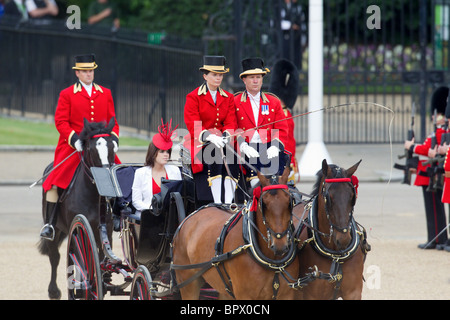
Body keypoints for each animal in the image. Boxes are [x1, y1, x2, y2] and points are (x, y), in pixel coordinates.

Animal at [37, 118, 117, 300]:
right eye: (92, 149)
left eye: (113, 146)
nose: (105, 178)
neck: (93, 195)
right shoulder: (78, 227)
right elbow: (80, 261)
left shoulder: (105, 231)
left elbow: (100, 259)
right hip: (55, 228)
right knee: (55, 256)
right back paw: (54, 291)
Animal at [171, 165, 300, 300]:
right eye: (263, 203)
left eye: (290, 201)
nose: (280, 245)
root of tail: (187, 218)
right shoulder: (244, 295)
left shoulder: (287, 294)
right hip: (188, 284)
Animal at [296, 159, 370, 298]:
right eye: (328, 197)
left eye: (352, 196)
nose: (344, 239)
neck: (336, 255)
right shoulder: (313, 296)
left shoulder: (353, 293)